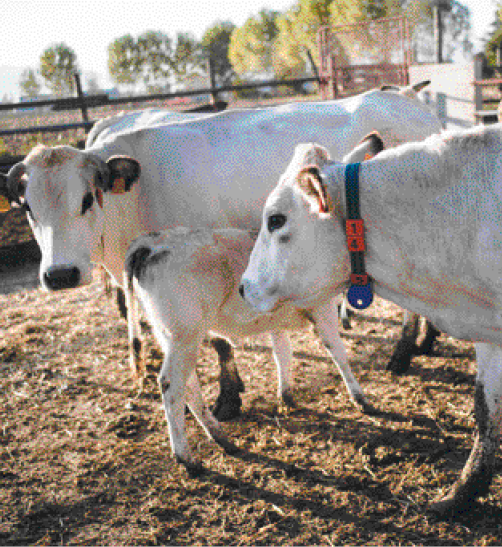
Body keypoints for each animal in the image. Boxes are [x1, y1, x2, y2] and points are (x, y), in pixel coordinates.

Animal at [123, 227, 362, 476]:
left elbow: (283, 353)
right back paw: (186, 457)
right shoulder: (322, 308)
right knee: (170, 384)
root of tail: (148, 243)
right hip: (185, 335)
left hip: (169, 335)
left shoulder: (276, 320)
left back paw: (221, 438)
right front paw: (360, 398)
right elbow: (338, 352)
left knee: (189, 387)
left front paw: (286, 396)